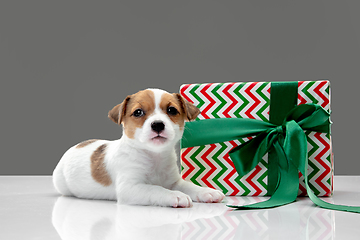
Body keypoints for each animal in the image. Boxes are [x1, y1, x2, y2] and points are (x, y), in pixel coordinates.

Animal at [52, 89, 225, 207]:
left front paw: (206, 191)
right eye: (138, 112)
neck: (154, 157)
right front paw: (175, 195)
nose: (157, 124)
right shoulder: (130, 188)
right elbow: (155, 189)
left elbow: (189, 185)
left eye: (172, 110)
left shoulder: (174, 181)